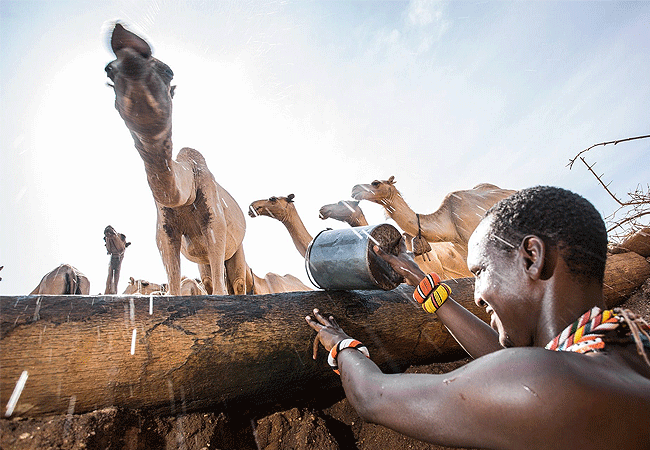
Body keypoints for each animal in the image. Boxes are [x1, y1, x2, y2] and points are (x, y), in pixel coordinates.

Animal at [105, 22, 247, 296]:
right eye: (109, 72)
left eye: (168, 71)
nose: (130, 55)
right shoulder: (164, 230)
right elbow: (172, 284)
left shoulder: (216, 224)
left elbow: (221, 290)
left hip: (238, 247)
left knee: (237, 281)